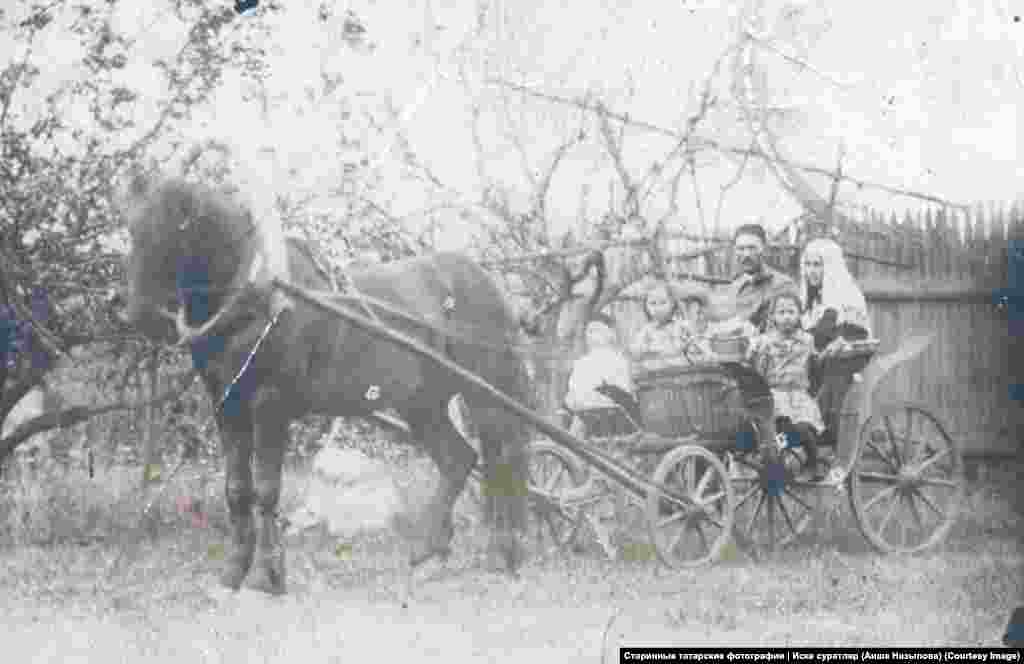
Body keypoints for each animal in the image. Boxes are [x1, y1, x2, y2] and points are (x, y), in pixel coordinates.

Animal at [119, 174, 532, 594]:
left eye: (178, 229)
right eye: (132, 229)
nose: (137, 316)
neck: (256, 294)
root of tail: (487, 281)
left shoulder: (270, 403)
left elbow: (266, 489)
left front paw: (267, 575)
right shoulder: (227, 403)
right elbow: (236, 490)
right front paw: (233, 572)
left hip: (486, 394)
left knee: (502, 457)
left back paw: (503, 551)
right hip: (422, 403)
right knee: (458, 459)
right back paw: (428, 550)